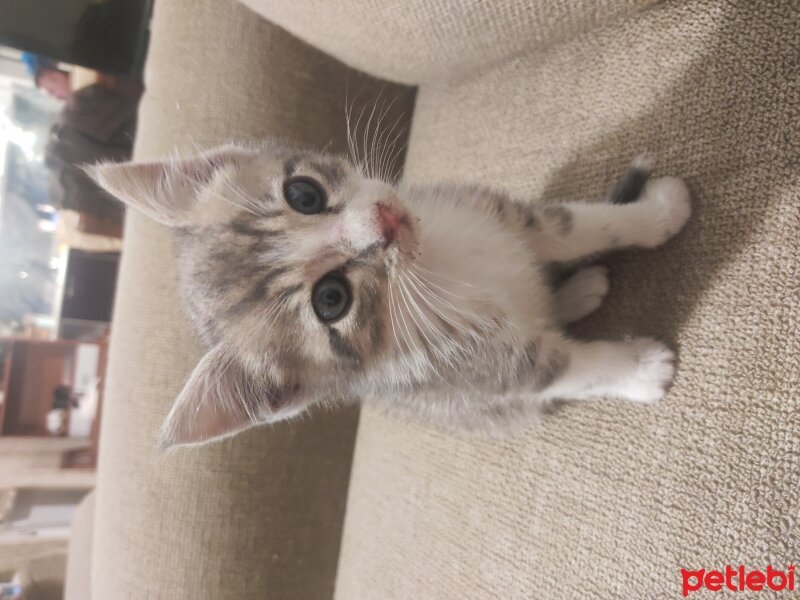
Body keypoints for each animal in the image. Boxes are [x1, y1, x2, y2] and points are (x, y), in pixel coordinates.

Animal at [86, 143, 688, 448]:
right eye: (331, 299)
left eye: (303, 194)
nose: (386, 221)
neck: (436, 265)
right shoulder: (472, 368)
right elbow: (559, 369)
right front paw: (637, 369)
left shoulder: (499, 213)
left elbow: (573, 227)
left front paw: (655, 215)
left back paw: (578, 288)